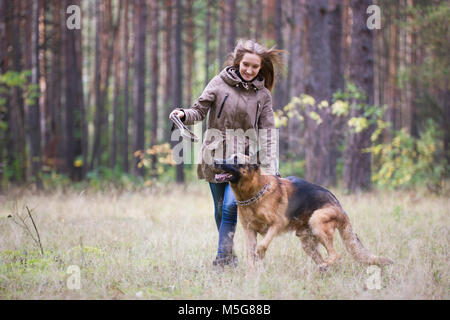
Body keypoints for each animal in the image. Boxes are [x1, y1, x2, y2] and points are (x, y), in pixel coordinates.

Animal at [213, 154, 392, 272]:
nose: (215, 161)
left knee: (335, 254)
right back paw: (324, 269)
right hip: (307, 243)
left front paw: (260, 255)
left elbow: (262, 246)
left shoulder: (276, 225)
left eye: (235, 159)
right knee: (326, 258)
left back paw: (325, 266)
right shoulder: (249, 231)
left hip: (317, 220)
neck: (255, 193)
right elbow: (250, 254)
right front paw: (251, 273)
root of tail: (340, 206)